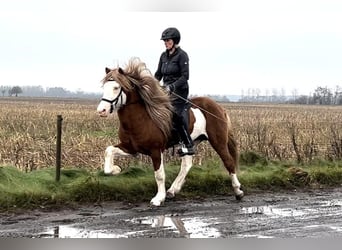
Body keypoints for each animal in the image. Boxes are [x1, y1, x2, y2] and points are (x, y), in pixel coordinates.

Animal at [96, 57, 243, 206]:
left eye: (116, 87)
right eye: (104, 87)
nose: (101, 111)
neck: (141, 119)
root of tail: (218, 107)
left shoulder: (155, 150)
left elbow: (159, 175)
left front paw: (158, 198)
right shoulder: (131, 148)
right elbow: (109, 151)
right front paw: (115, 169)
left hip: (218, 141)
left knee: (228, 162)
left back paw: (238, 191)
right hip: (191, 142)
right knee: (187, 165)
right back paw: (173, 190)